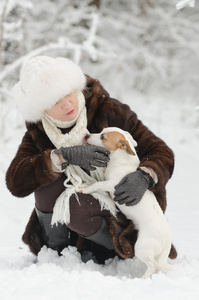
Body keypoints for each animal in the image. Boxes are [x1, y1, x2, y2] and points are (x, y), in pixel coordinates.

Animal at [81, 127, 173, 278]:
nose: (87, 135)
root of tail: (167, 239)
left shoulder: (111, 185)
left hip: (141, 247)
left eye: (102, 137)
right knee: (156, 266)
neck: (121, 161)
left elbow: (97, 184)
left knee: (153, 265)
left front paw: (85, 189)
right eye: (101, 131)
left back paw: (142, 278)